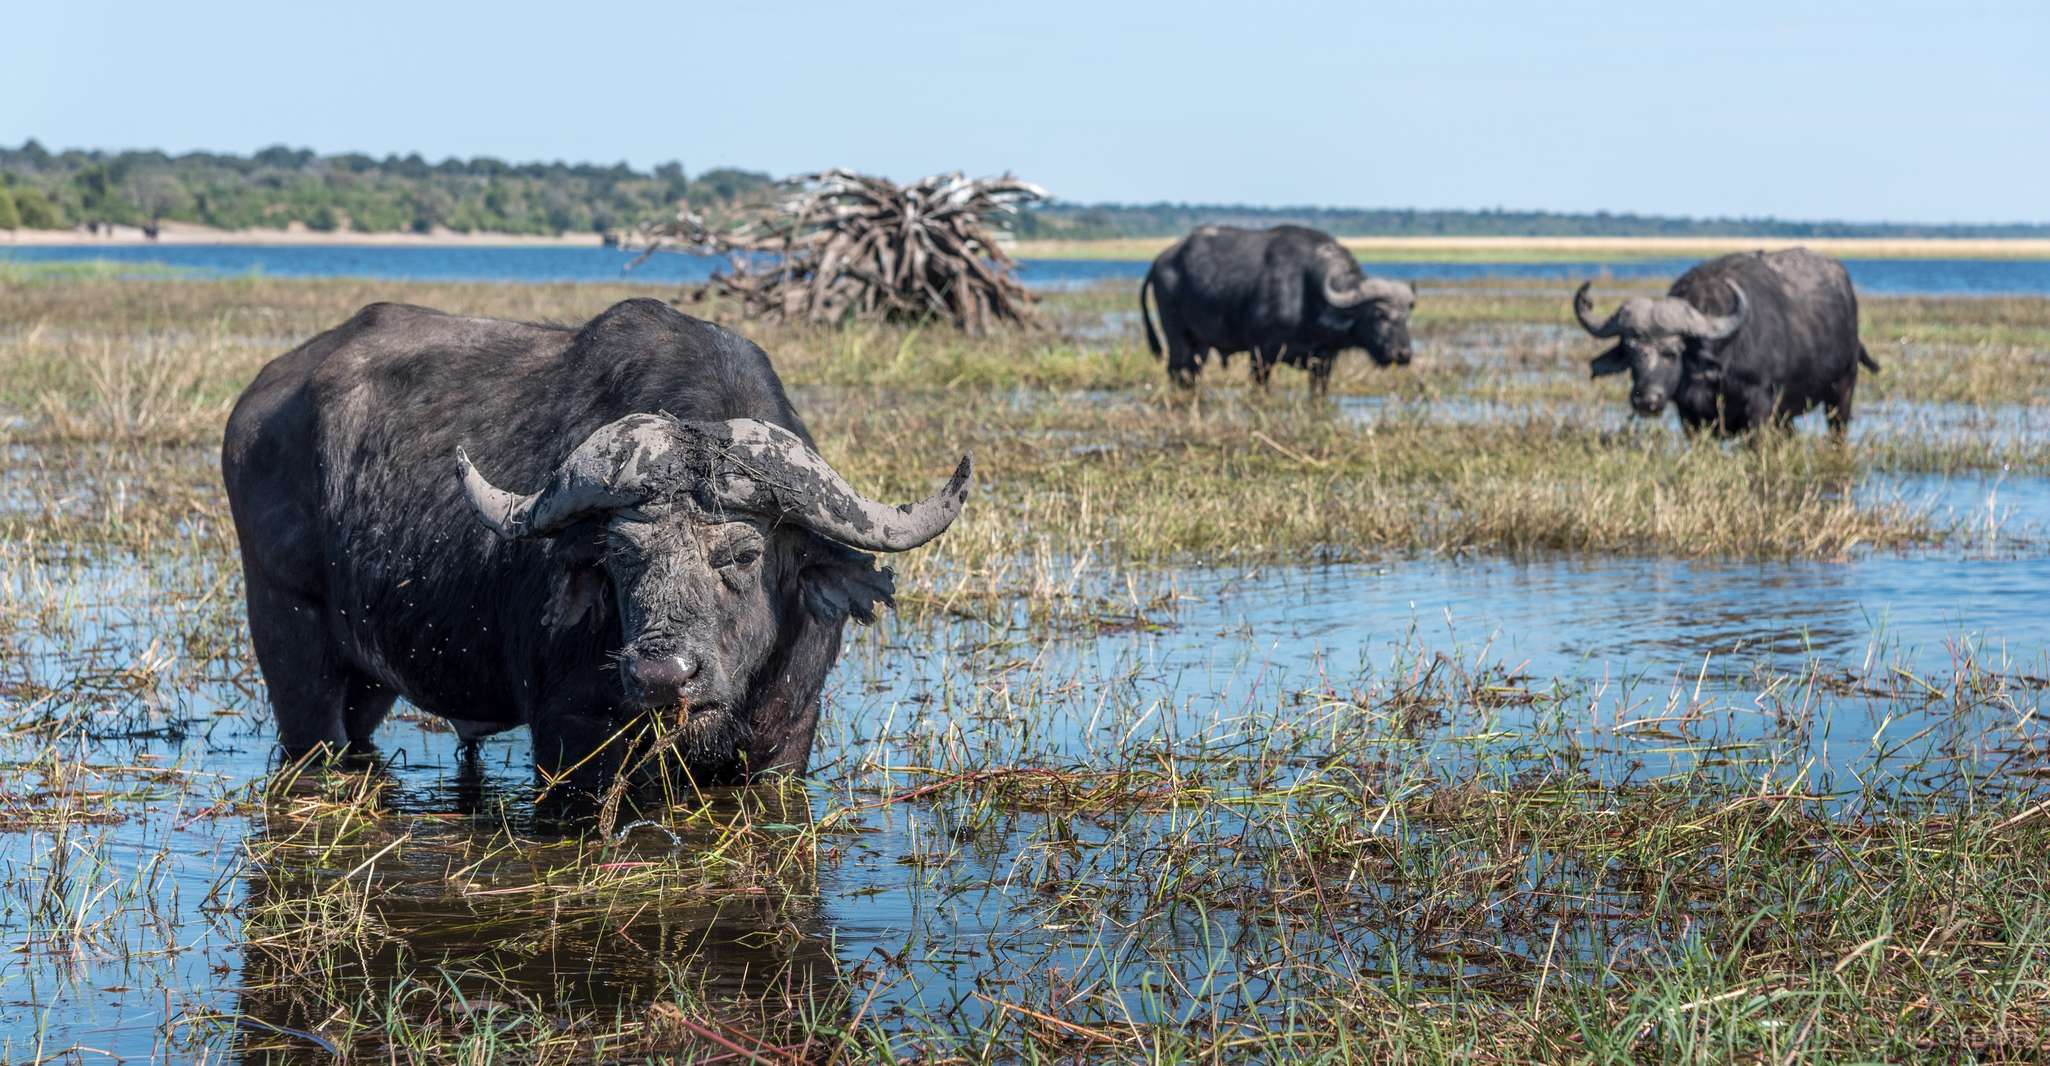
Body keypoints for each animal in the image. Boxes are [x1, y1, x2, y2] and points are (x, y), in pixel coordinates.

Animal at [220, 295, 971, 795]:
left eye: (744, 555)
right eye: (621, 556)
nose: (664, 675)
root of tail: (257, 405)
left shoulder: (787, 740)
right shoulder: (568, 738)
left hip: (369, 676)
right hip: (288, 636)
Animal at [1139, 223, 1410, 391]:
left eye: (1406, 316)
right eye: (1379, 314)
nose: (1403, 354)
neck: (1309, 296)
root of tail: (1161, 259)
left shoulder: (1324, 361)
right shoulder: (1261, 353)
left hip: (1201, 343)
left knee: (1192, 373)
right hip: (1178, 336)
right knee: (1178, 370)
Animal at [1574, 246, 1877, 432]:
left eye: (1672, 352)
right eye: (1631, 351)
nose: (1646, 400)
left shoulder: (1760, 409)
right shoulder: (1691, 420)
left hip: (1842, 391)